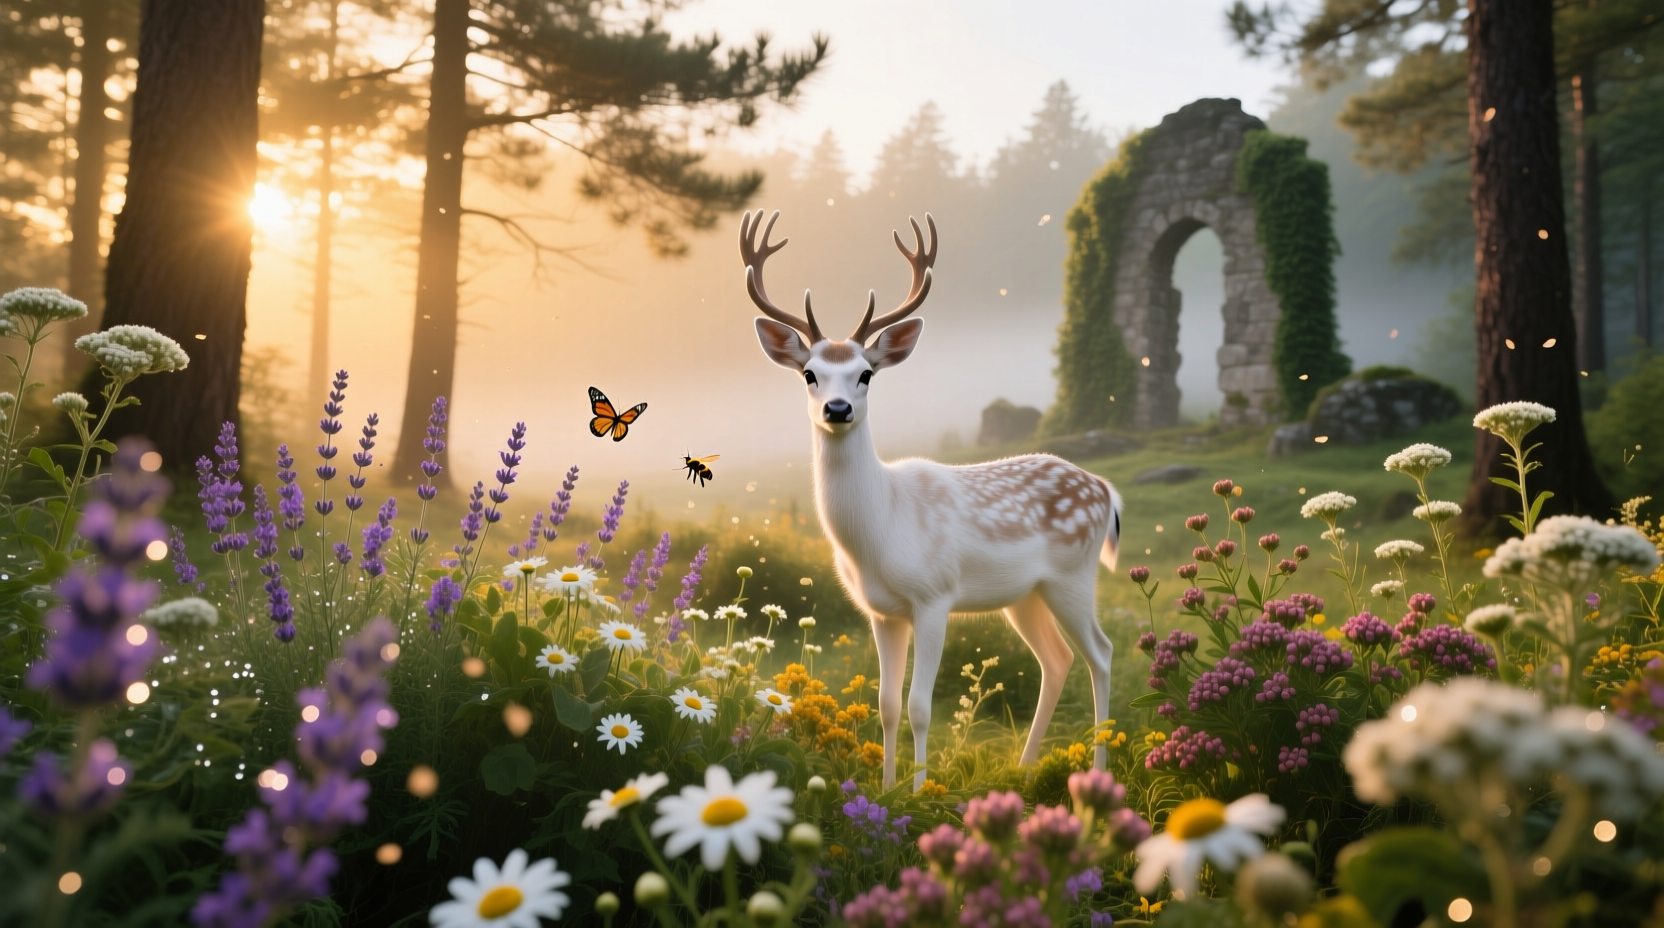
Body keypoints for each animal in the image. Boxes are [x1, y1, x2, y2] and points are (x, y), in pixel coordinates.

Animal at [740, 209, 1124, 790]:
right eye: (809, 374)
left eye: (866, 374)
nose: (837, 409)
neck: (880, 530)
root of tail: (1105, 489)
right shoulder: (881, 611)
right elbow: (886, 705)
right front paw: (885, 789)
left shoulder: (934, 596)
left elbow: (921, 707)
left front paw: (921, 790)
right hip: (1027, 594)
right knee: (1056, 659)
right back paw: (1024, 767)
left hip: (1073, 575)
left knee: (1100, 653)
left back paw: (1098, 771)